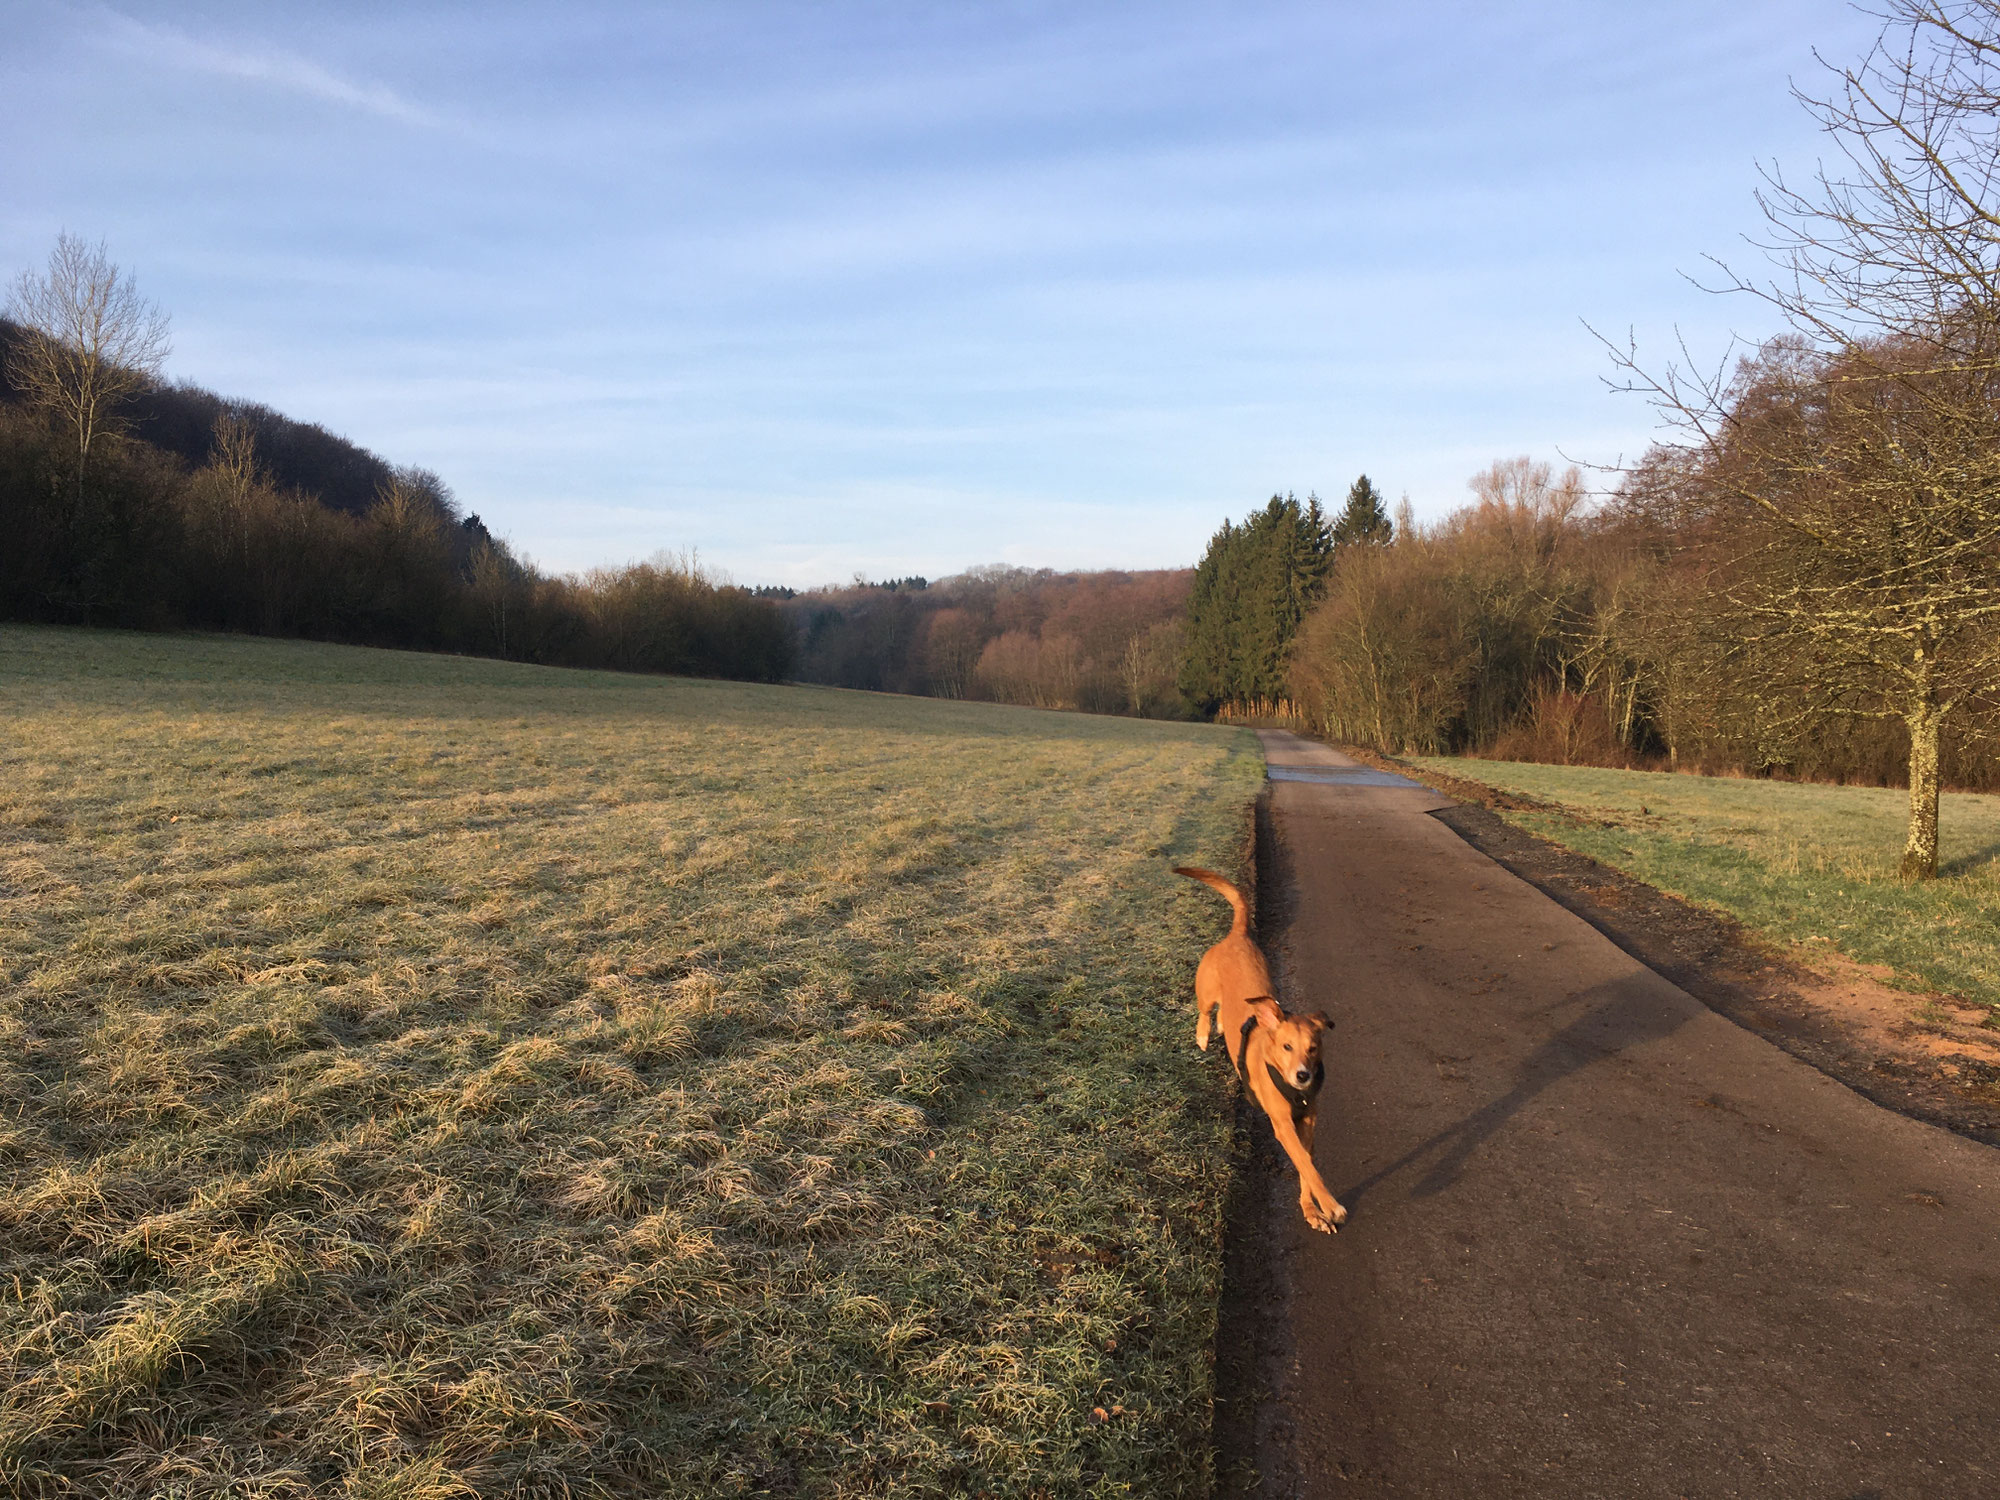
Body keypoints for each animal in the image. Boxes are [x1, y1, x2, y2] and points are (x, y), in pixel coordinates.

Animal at [1168, 864, 1344, 1240]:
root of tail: (1238, 934)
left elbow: (1306, 1164)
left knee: (1222, 1013)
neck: (1295, 1092)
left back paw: (1224, 1027)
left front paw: (1312, 1210)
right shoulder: (1283, 1124)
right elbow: (1306, 1164)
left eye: (1313, 1047)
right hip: (1206, 989)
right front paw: (1329, 1204)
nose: (1303, 1075)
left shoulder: (1308, 1121)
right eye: (1287, 1046)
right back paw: (1203, 1034)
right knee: (1205, 1009)